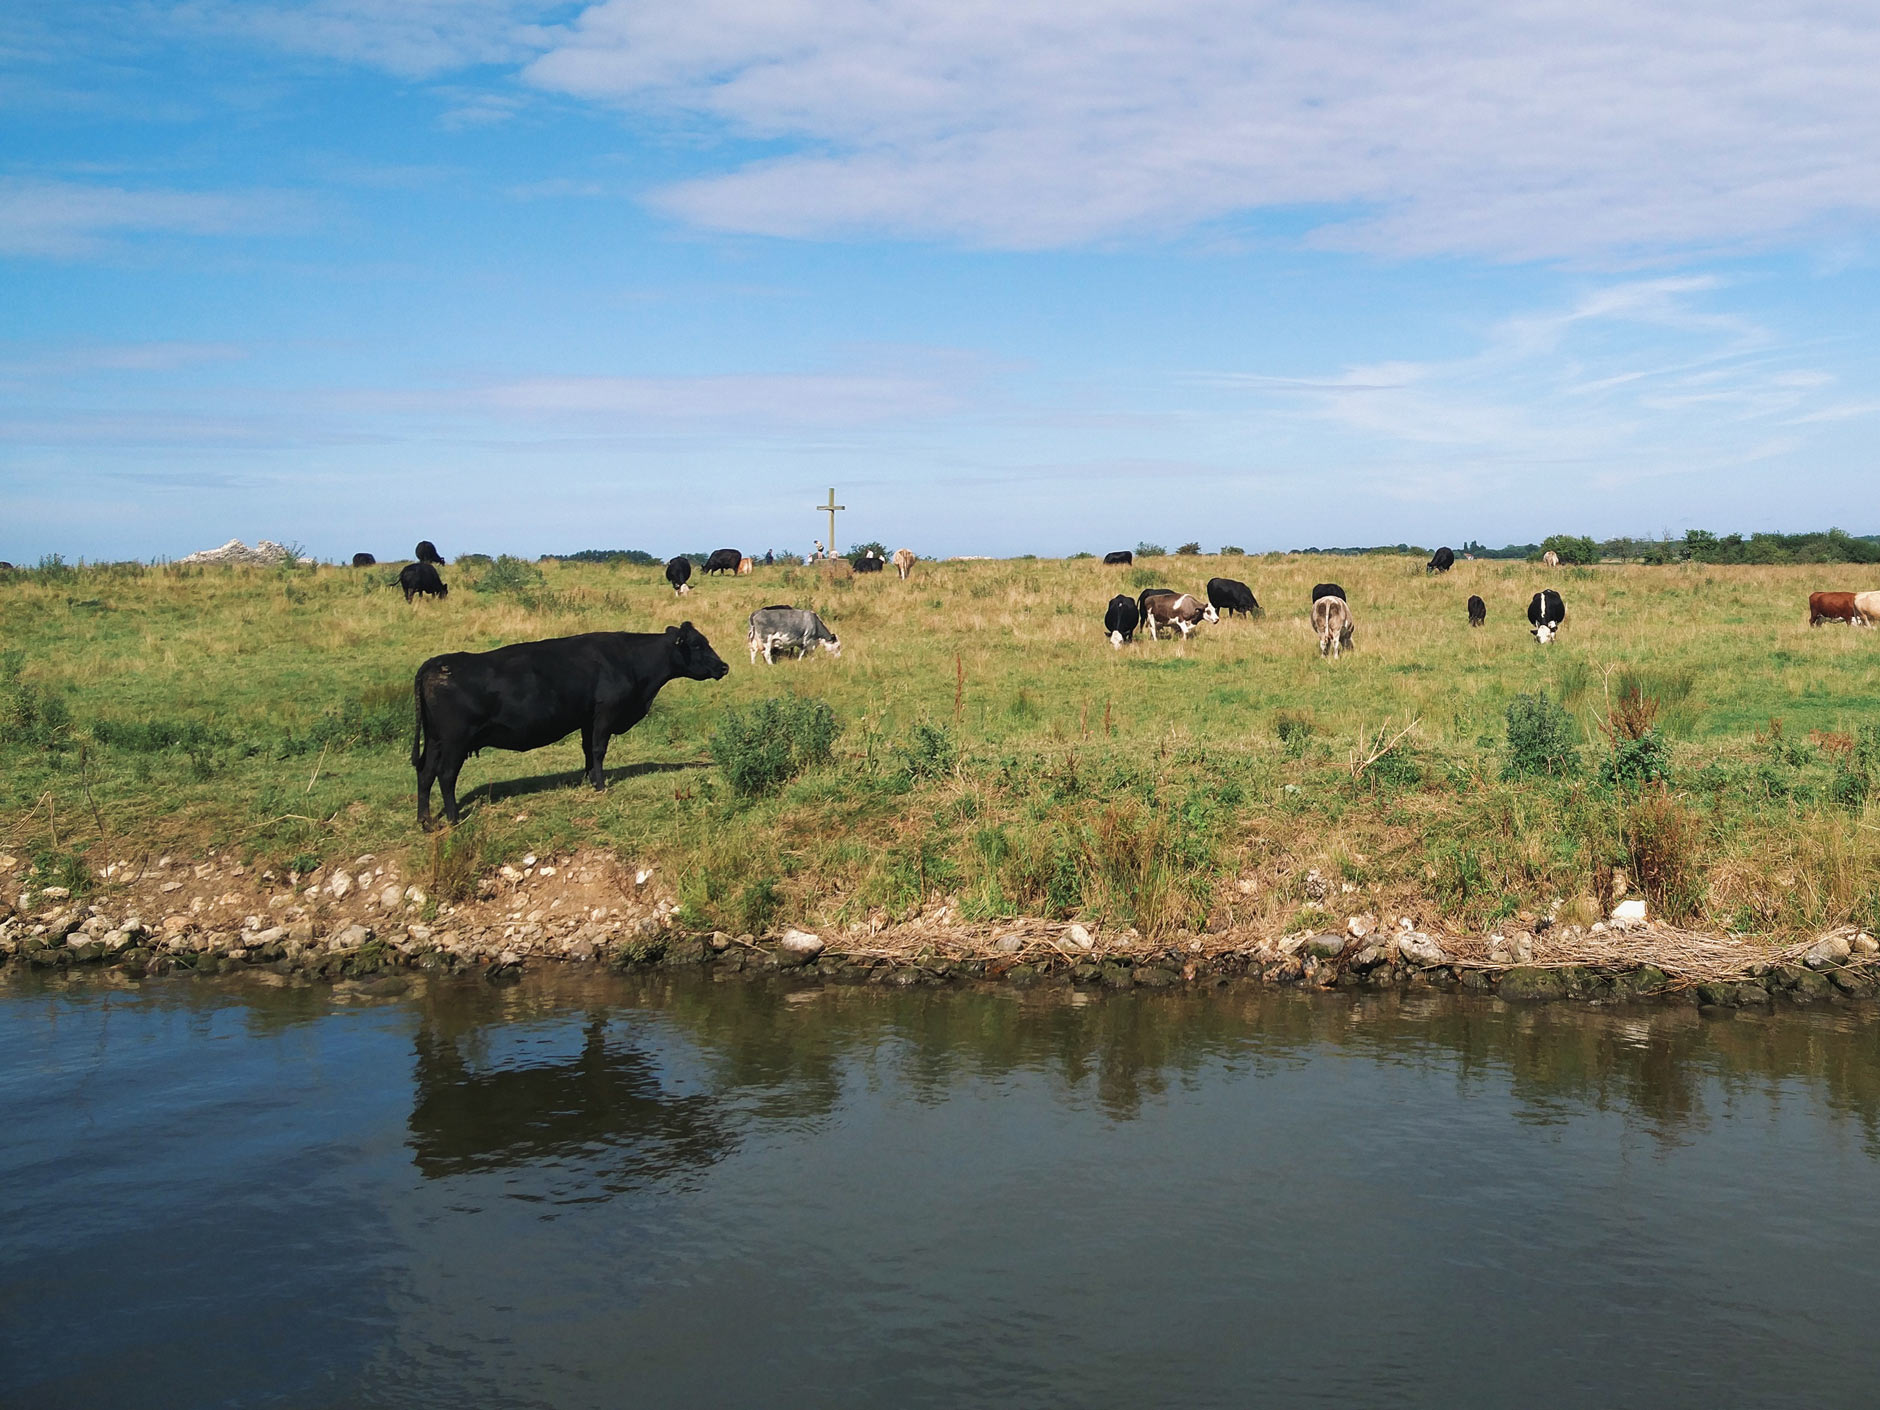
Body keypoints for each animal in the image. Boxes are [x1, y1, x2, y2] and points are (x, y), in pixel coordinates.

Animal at [411, 627, 725, 834]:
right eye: (698, 645)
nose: (724, 666)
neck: (629, 661)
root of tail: (436, 663)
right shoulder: (605, 714)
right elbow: (598, 749)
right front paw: (600, 785)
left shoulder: (588, 719)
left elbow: (587, 750)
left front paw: (589, 779)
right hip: (455, 742)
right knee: (446, 775)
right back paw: (453, 820)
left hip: (436, 740)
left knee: (425, 774)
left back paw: (426, 821)